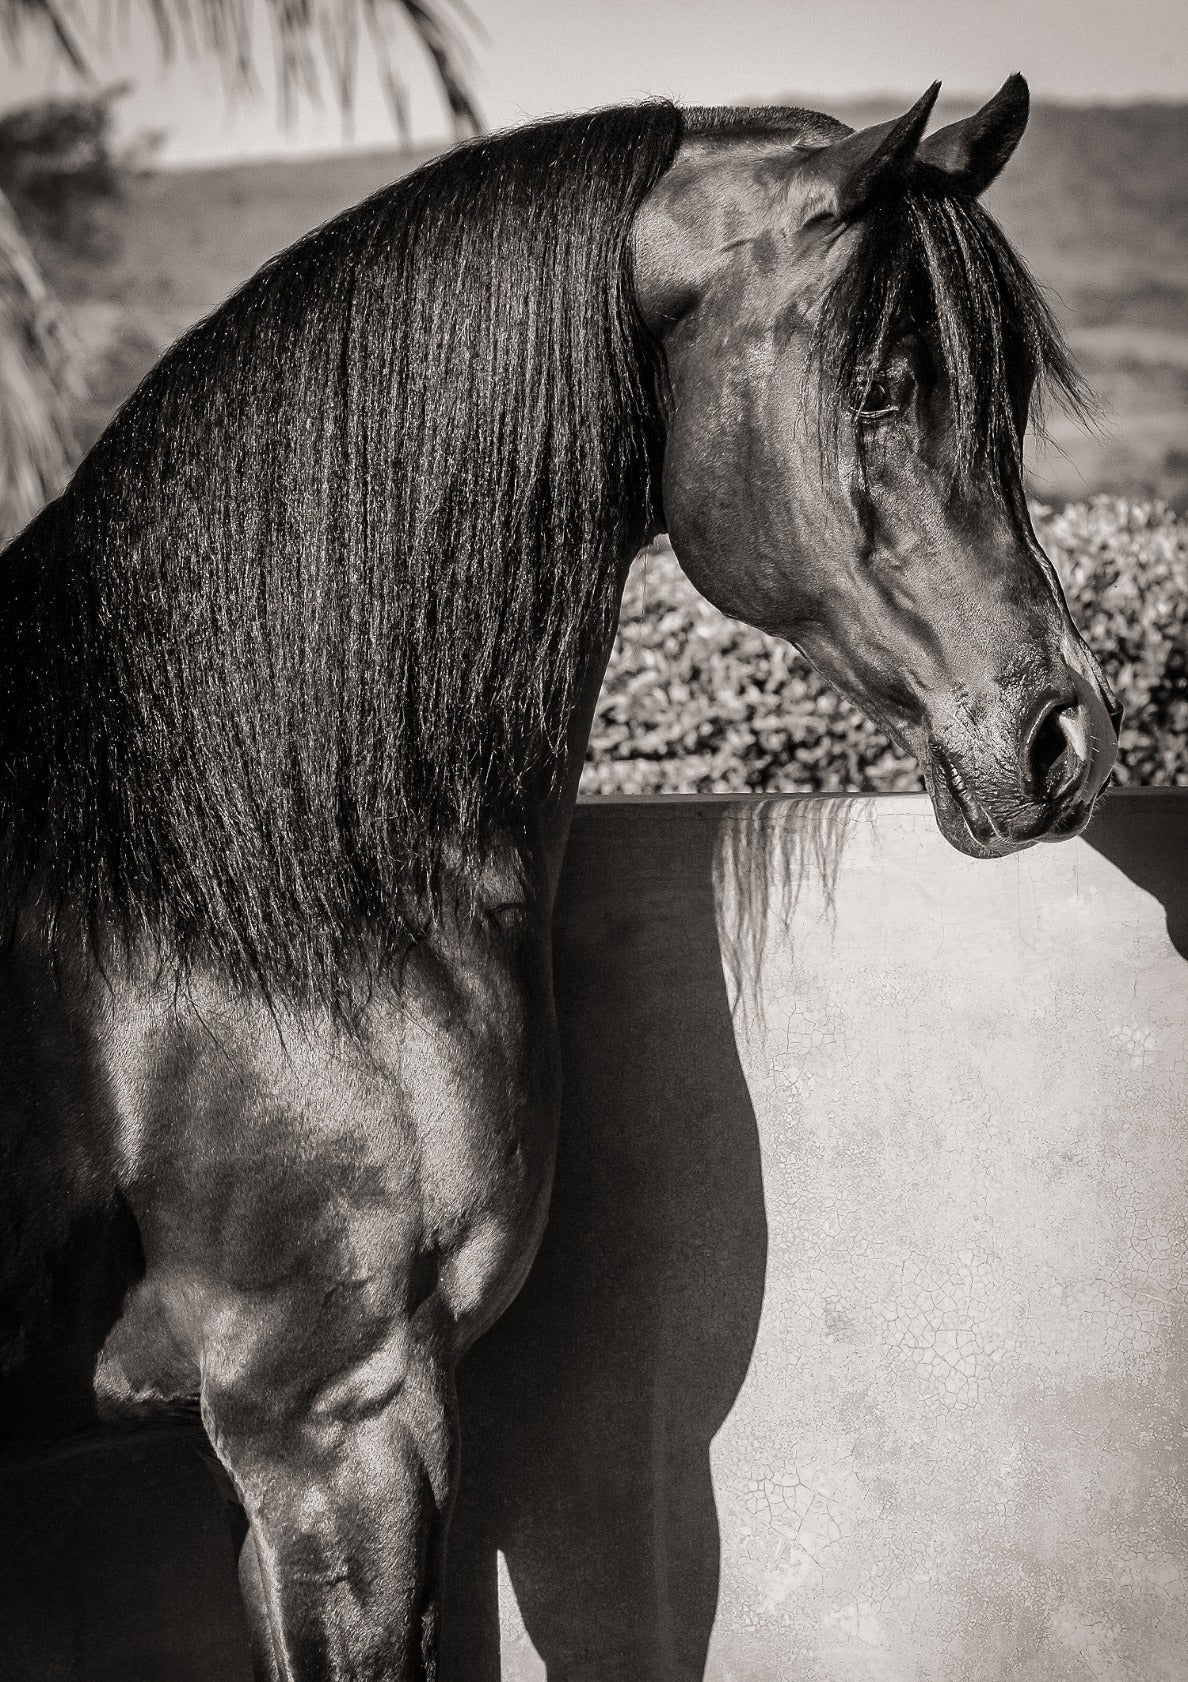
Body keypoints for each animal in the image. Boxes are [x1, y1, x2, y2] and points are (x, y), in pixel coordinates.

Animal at [0, 77, 1120, 1680]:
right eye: (882, 388)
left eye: (1009, 394)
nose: (1062, 738)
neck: (243, 867)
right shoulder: (334, 1422)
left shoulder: (280, 1460)